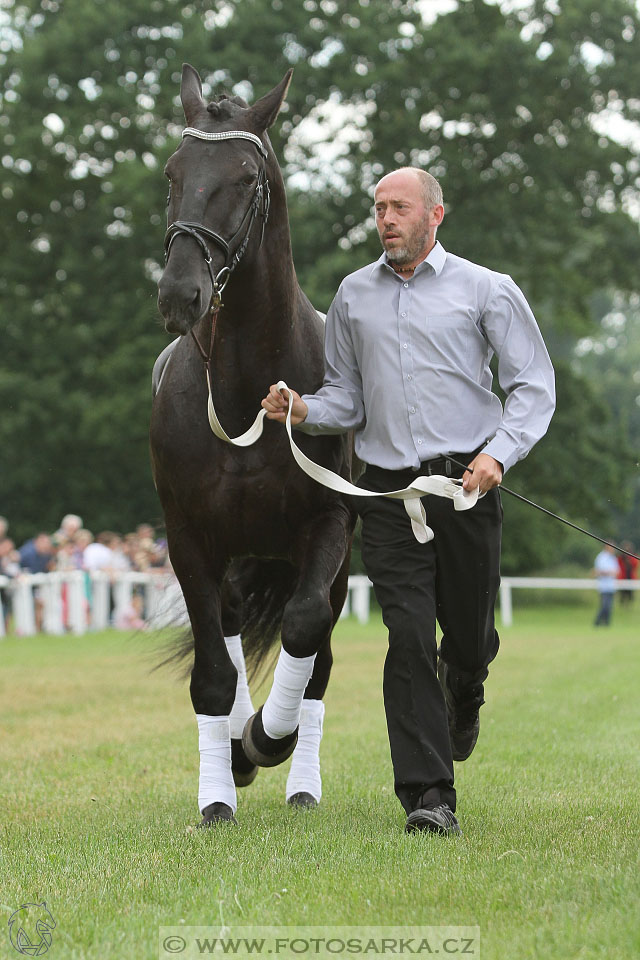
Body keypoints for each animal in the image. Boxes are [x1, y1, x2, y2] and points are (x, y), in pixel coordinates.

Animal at [152, 65, 358, 824]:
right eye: (175, 172)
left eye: (244, 178)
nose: (180, 293)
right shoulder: (190, 538)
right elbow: (214, 672)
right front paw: (222, 783)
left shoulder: (328, 524)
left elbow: (303, 630)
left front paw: (269, 739)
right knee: (236, 631)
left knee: (317, 657)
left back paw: (296, 777)